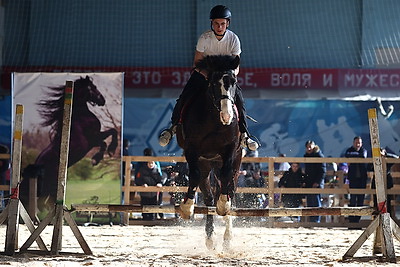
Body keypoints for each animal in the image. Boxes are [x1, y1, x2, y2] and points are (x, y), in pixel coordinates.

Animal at [20, 75, 117, 211]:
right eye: (93, 87)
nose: (102, 100)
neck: (80, 116)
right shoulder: (92, 138)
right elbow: (108, 138)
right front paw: (98, 158)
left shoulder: (94, 140)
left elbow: (110, 134)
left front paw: (103, 154)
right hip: (49, 187)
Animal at [177, 55, 242, 251]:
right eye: (214, 83)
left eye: (234, 82)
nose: (227, 116)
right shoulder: (192, 150)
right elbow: (194, 175)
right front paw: (187, 207)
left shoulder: (230, 151)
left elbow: (226, 179)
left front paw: (223, 205)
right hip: (206, 165)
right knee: (208, 197)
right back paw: (210, 238)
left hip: (232, 164)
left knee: (229, 190)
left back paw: (227, 238)